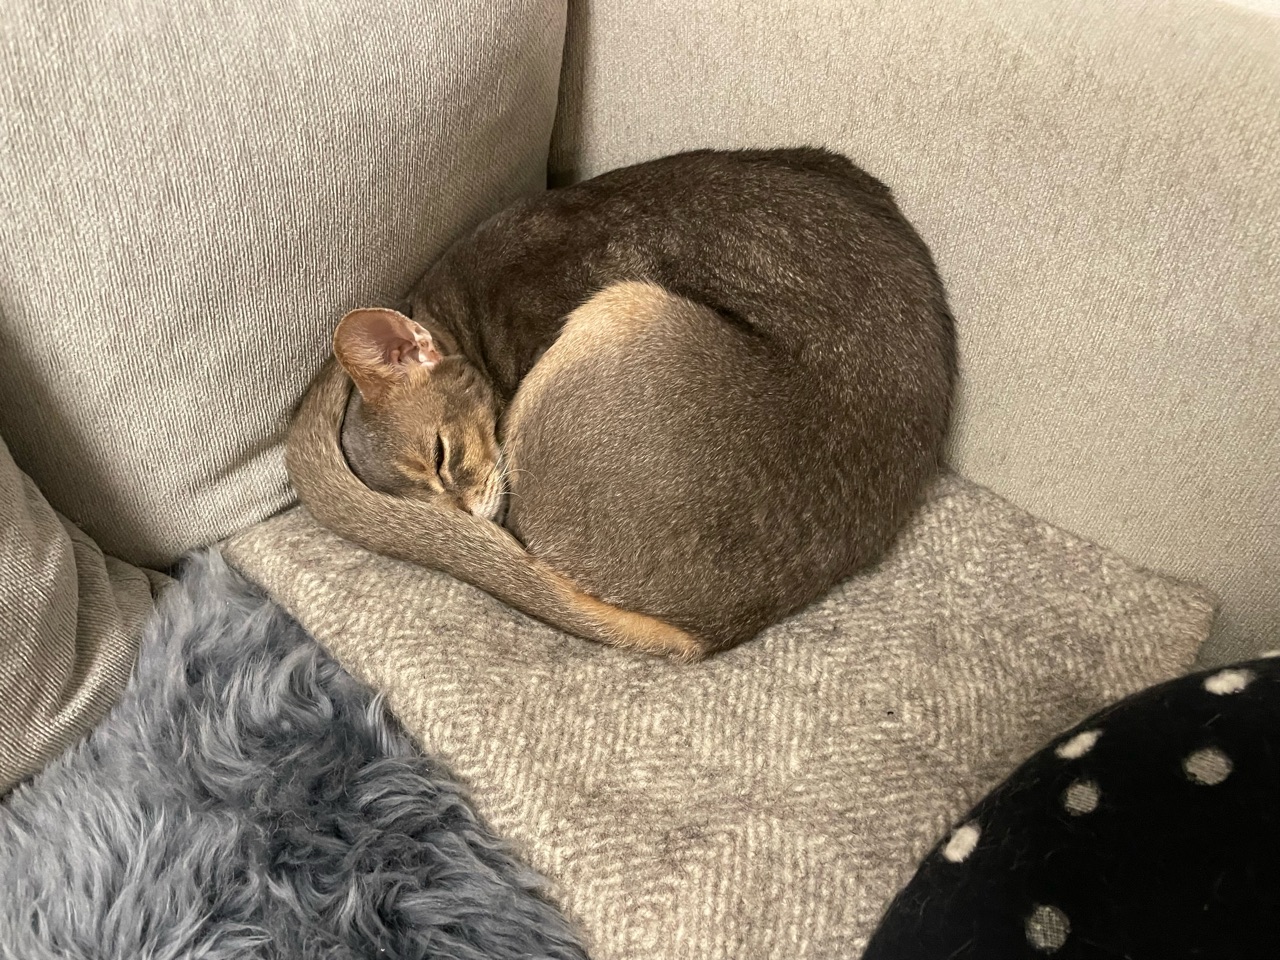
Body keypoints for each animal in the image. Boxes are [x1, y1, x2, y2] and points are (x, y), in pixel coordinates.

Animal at [287, 148, 956, 660]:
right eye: (413, 494)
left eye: (440, 455)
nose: (465, 518)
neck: (459, 316)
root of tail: (714, 628)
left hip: (624, 306)